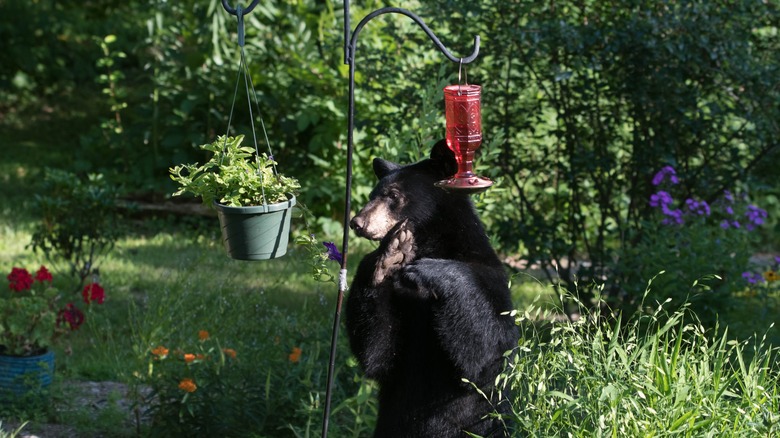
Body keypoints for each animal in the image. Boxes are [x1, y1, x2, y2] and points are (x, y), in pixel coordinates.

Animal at [348, 141, 516, 438]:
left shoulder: (492, 280)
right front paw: (390, 255)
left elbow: (487, 354)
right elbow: (380, 353)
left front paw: (427, 271)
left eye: (393, 195)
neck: (431, 244)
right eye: (372, 194)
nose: (357, 222)